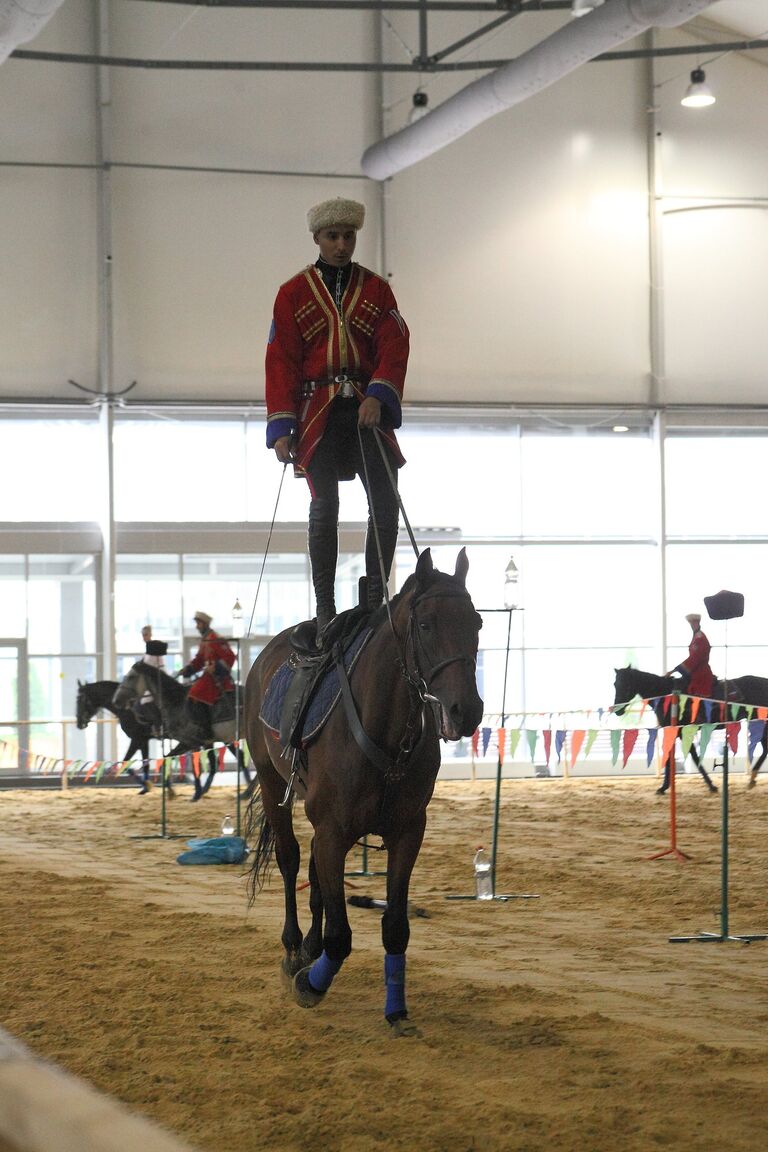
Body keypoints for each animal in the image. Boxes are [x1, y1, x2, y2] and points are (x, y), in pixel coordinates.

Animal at [112, 658, 253, 801]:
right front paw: (171, 792)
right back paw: (245, 792)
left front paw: (196, 794)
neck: (176, 701)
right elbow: (164, 762)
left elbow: (196, 768)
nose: (116, 700)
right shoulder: (186, 742)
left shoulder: (192, 742)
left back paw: (245, 792)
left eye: (131, 677)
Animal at [242, 548, 483, 1036]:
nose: (466, 710)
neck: (386, 731)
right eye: (425, 624)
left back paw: (308, 948)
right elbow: (340, 935)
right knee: (291, 859)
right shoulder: (334, 833)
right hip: (273, 781)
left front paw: (397, 1010)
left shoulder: (407, 834)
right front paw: (309, 985)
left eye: (478, 622)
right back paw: (294, 948)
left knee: (313, 873)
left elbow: (395, 926)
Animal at [617, 668, 768, 792]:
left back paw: (752, 778)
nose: (618, 710)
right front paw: (664, 786)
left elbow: (690, 756)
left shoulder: (680, 731)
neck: (665, 694)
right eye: (615, 684)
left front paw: (711, 785)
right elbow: (680, 756)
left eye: (626, 685)